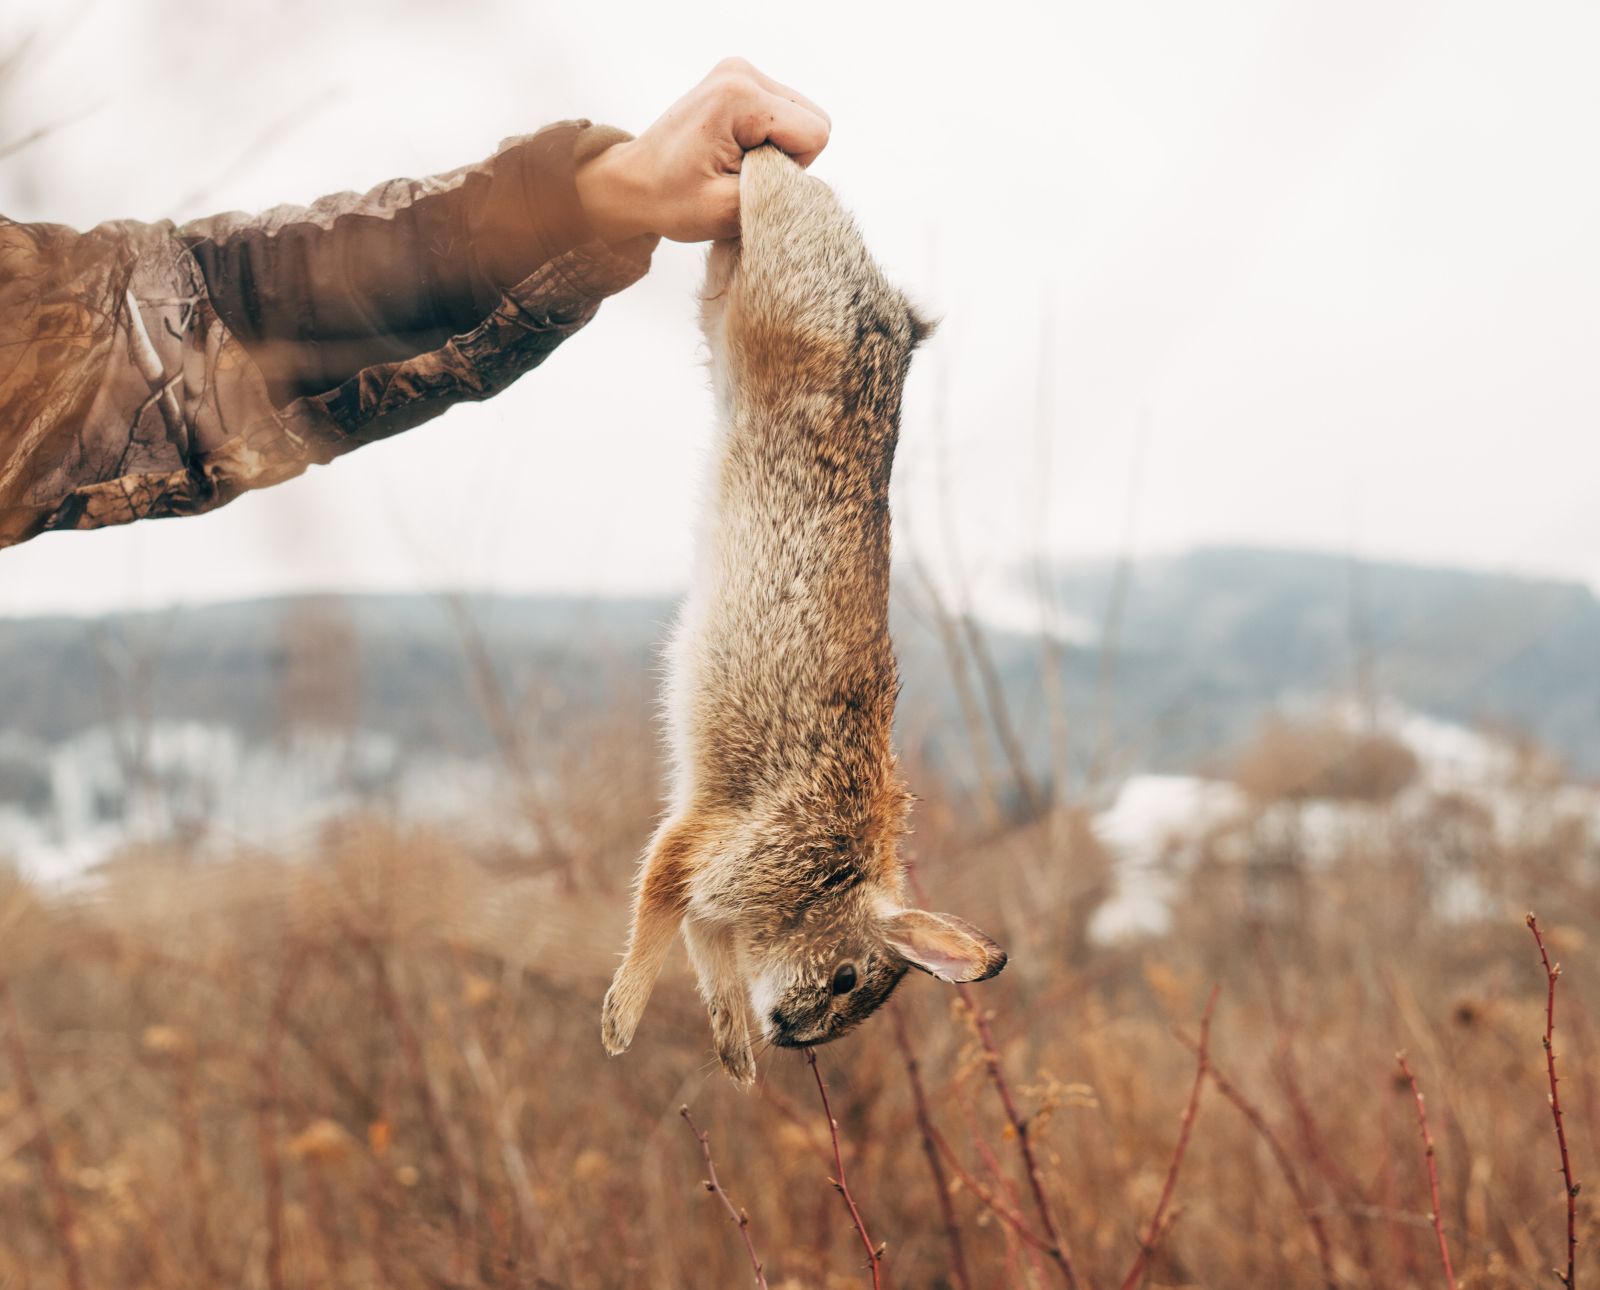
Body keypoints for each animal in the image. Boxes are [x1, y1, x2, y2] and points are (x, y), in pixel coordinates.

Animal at [600, 145, 1006, 1084]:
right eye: (850, 976)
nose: (790, 1033)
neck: (831, 876)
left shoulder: (718, 901)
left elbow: (706, 956)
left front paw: (733, 1058)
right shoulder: (714, 846)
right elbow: (656, 907)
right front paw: (620, 1024)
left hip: (724, 309)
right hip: (777, 293)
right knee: (760, 178)